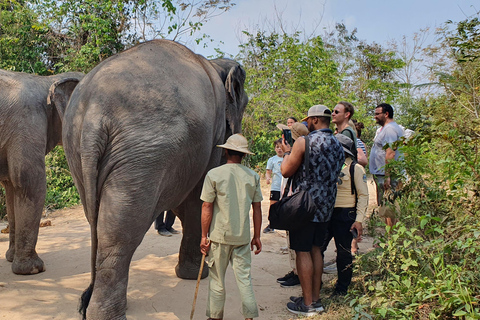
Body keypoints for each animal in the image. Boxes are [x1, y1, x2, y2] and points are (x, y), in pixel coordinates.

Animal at [0, 69, 83, 274]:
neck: (46, 81)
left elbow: (11, 189)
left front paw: (11, 258)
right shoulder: (27, 124)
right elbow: (30, 183)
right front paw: (33, 269)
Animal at [49, 38, 249, 318]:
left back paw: (88, 304)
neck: (214, 63)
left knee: (97, 220)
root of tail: (93, 116)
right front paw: (194, 275)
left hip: (78, 148)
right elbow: (196, 200)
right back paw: (108, 313)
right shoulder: (212, 136)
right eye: (246, 104)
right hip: (142, 155)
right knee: (121, 232)